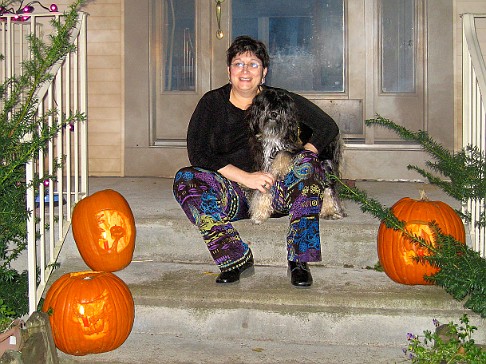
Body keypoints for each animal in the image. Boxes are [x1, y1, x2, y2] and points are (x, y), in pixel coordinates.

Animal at [247, 88, 346, 225]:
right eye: (266, 104)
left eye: (282, 106)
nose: (274, 114)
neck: (273, 135)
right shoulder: (262, 162)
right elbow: (263, 188)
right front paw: (259, 214)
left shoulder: (295, 148)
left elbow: (282, 154)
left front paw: (278, 169)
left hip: (324, 161)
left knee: (328, 187)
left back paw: (329, 210)